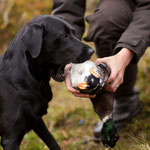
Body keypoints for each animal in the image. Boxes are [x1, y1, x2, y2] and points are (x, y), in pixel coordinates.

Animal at [0, 15, 94, 150]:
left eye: (74, 32)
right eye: (64, 36)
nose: (92, 51)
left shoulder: (36, 120)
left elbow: (53, 142)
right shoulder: (10, 138)